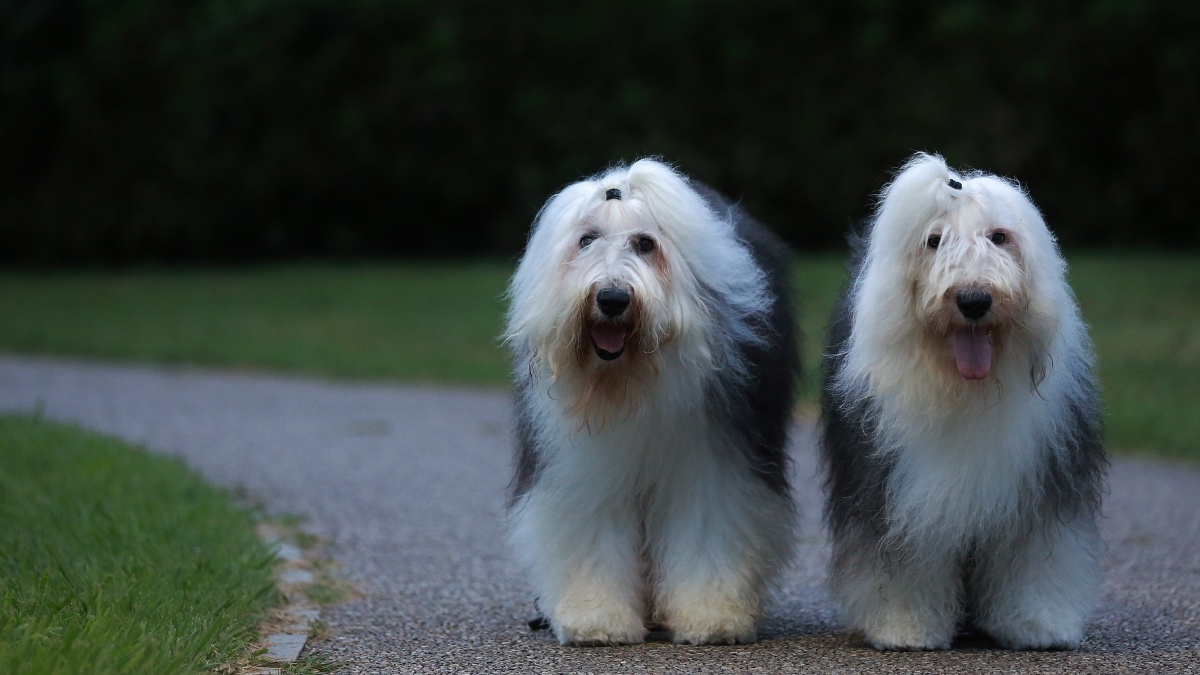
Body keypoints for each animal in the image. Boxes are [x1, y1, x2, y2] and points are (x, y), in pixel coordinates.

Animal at [504, 158, 799, 646]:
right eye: (586, 240)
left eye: (646, 243)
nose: (612, 298)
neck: (628, 381)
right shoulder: (586, 468)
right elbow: (593, 529)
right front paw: (596, 619)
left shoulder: (714, 463)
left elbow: (707, 526)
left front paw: (710, 617)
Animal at [819, 153, 1107, 651]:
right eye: (934, 241)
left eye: (1000, 237)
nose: (974, 299)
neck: (968, 388)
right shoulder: (898, 490)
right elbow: (907, 559)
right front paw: (907, 627)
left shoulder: (1041, 482)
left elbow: (1035, 556)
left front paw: (1037, 623)